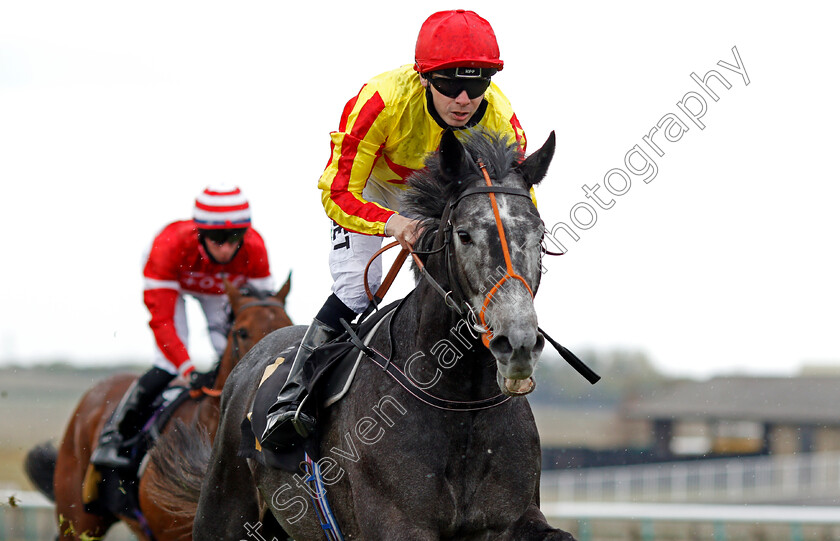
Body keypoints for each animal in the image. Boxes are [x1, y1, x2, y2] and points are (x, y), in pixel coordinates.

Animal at [159, 129, 576, 536]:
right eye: (464, 234)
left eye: (539, 236)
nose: (517, 343)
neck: (461, 403)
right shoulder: (397, 523)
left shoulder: (510, 517)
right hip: (223, 507)